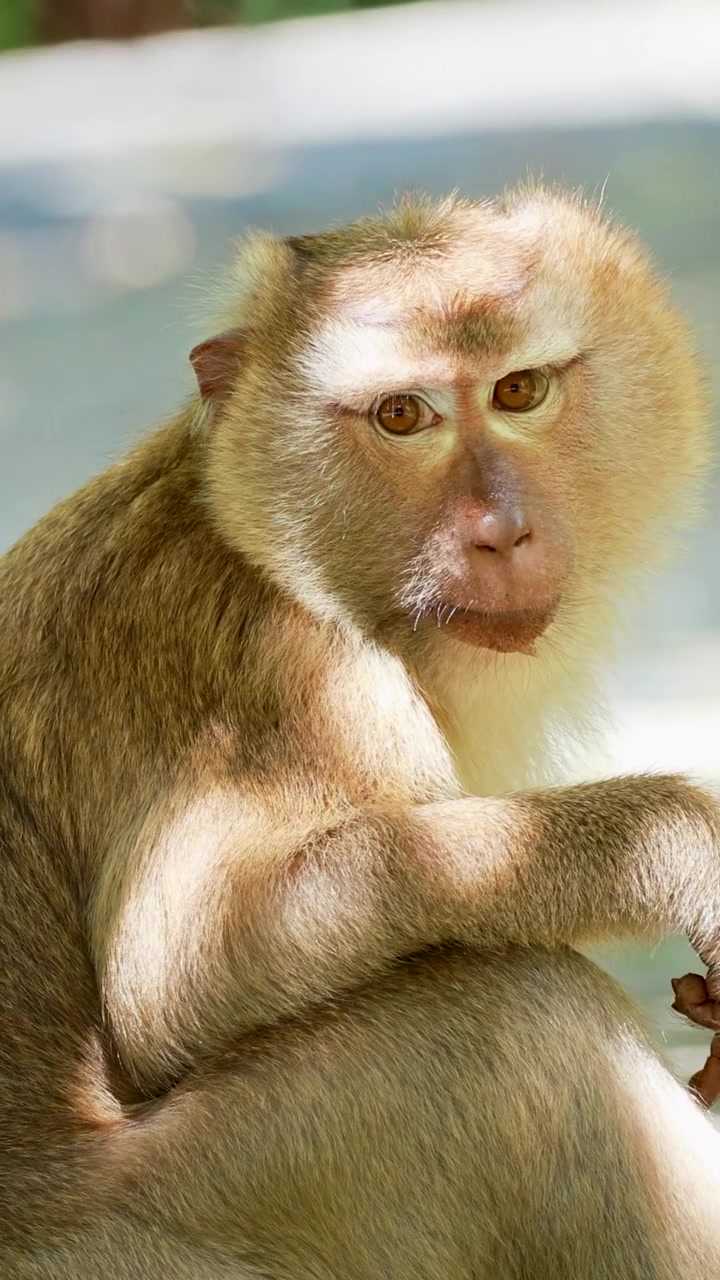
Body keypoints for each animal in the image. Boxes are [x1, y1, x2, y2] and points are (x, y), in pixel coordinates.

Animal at [2, 185, 720, 1280]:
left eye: (518, 390)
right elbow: (181, 965)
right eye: (402, 416)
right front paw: (676, 841)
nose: (499, 531)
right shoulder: (289, 675)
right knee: (521, 1023)